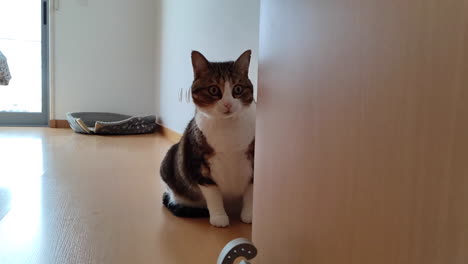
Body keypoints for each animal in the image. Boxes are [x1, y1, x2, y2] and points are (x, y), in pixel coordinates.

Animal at [161, 50, 256, 227]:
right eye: (213, 90)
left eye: (238, 89)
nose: (228, 104)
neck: (228, 129)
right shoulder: (198, 163)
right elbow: (213, 193)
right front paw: (219, 217)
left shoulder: (254, 157)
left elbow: (251, 191)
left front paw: (249, 216)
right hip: (169, 160)